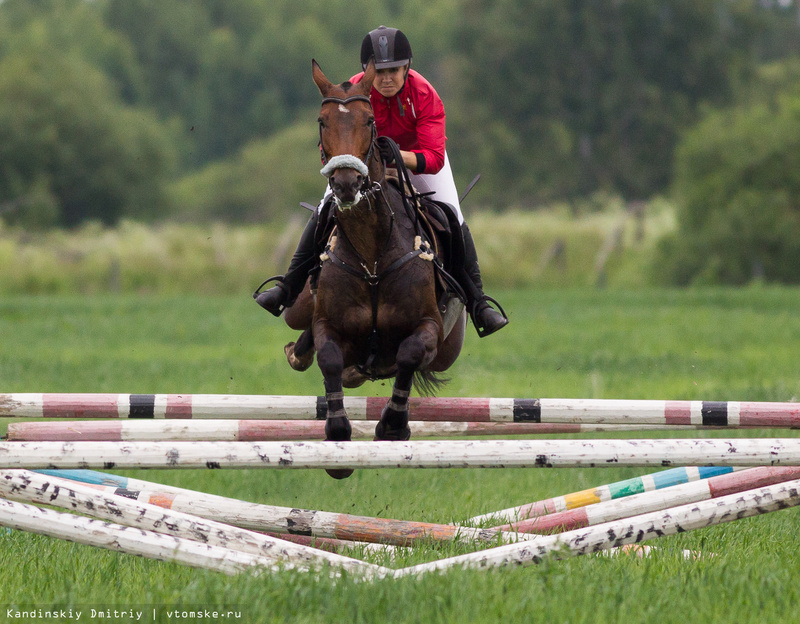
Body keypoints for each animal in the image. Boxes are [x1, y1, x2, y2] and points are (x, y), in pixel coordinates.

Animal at [282, 59, 466, 478]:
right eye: (322, 121)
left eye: (369, 122)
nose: (346, 184)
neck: (372, 256)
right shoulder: (327, 323)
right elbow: (329, 357)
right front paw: (337, 437)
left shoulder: (429, 327)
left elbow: (410, 353)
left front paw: (393, 427)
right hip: (297, 308)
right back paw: (300, 351)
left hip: (450, 345)